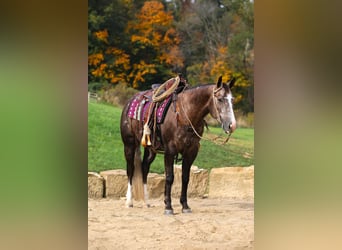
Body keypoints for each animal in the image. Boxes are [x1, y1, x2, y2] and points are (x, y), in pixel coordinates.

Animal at [119, 75, 235, 214]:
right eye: (220, 99)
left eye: (232, 100)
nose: (232, 125)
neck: (185, 114)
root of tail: (130, 101)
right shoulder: (170, 150)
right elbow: (169, 177)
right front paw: (168, 207)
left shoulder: (191, 151)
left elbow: (185, 177)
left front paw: (185, 206)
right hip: (129, 144)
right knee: (130, 170)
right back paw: (129, 202)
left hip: (150, 149)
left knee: (144, 168)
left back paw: (146, 202)